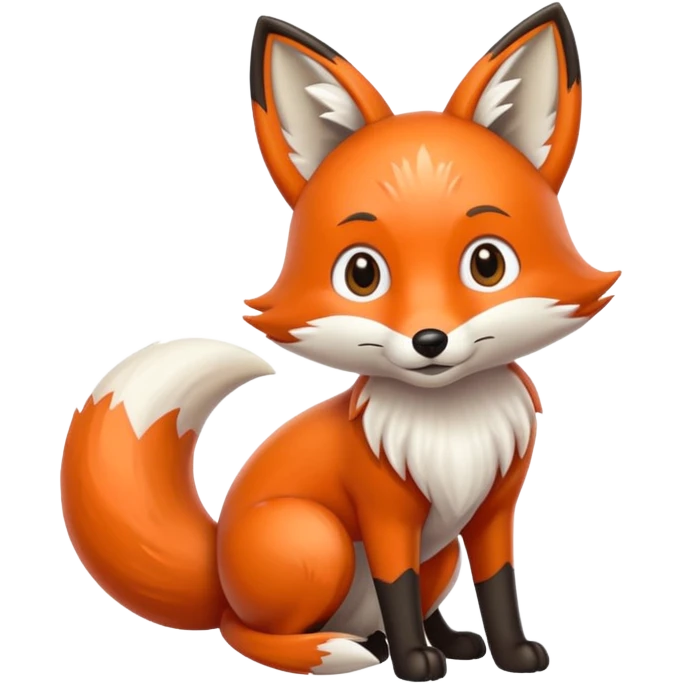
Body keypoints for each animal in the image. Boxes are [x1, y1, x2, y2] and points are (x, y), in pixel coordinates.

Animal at [60, 4, 621, 681]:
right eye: (361, 274)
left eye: (487, 264)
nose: (429, 339)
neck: (450, 426)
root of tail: (217, 571)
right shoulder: (385, 515)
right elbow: (397, 587)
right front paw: (414, 662)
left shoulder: (491, 511)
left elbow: (498, 588)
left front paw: (511, 655)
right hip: (314, 538)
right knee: (247, 632)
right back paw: (340, 650)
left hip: (437, 555)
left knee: (401, 603)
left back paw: (435, 641)